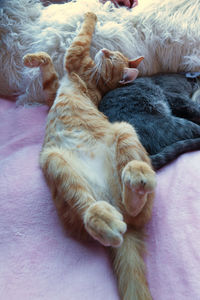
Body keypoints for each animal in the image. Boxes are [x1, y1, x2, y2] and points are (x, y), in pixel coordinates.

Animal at [23, 11, 156, 300]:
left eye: (111, 58)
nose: (104, 50)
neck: (95, 81)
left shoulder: (74, 58)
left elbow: (81, 38)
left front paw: (91, 13)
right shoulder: (52, 92)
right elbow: (48, 74)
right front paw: (36, 58)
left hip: (123, 129)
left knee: (136, 213)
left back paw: (135, 182)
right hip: (55, 161)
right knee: (89, 203)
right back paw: (110, 211)